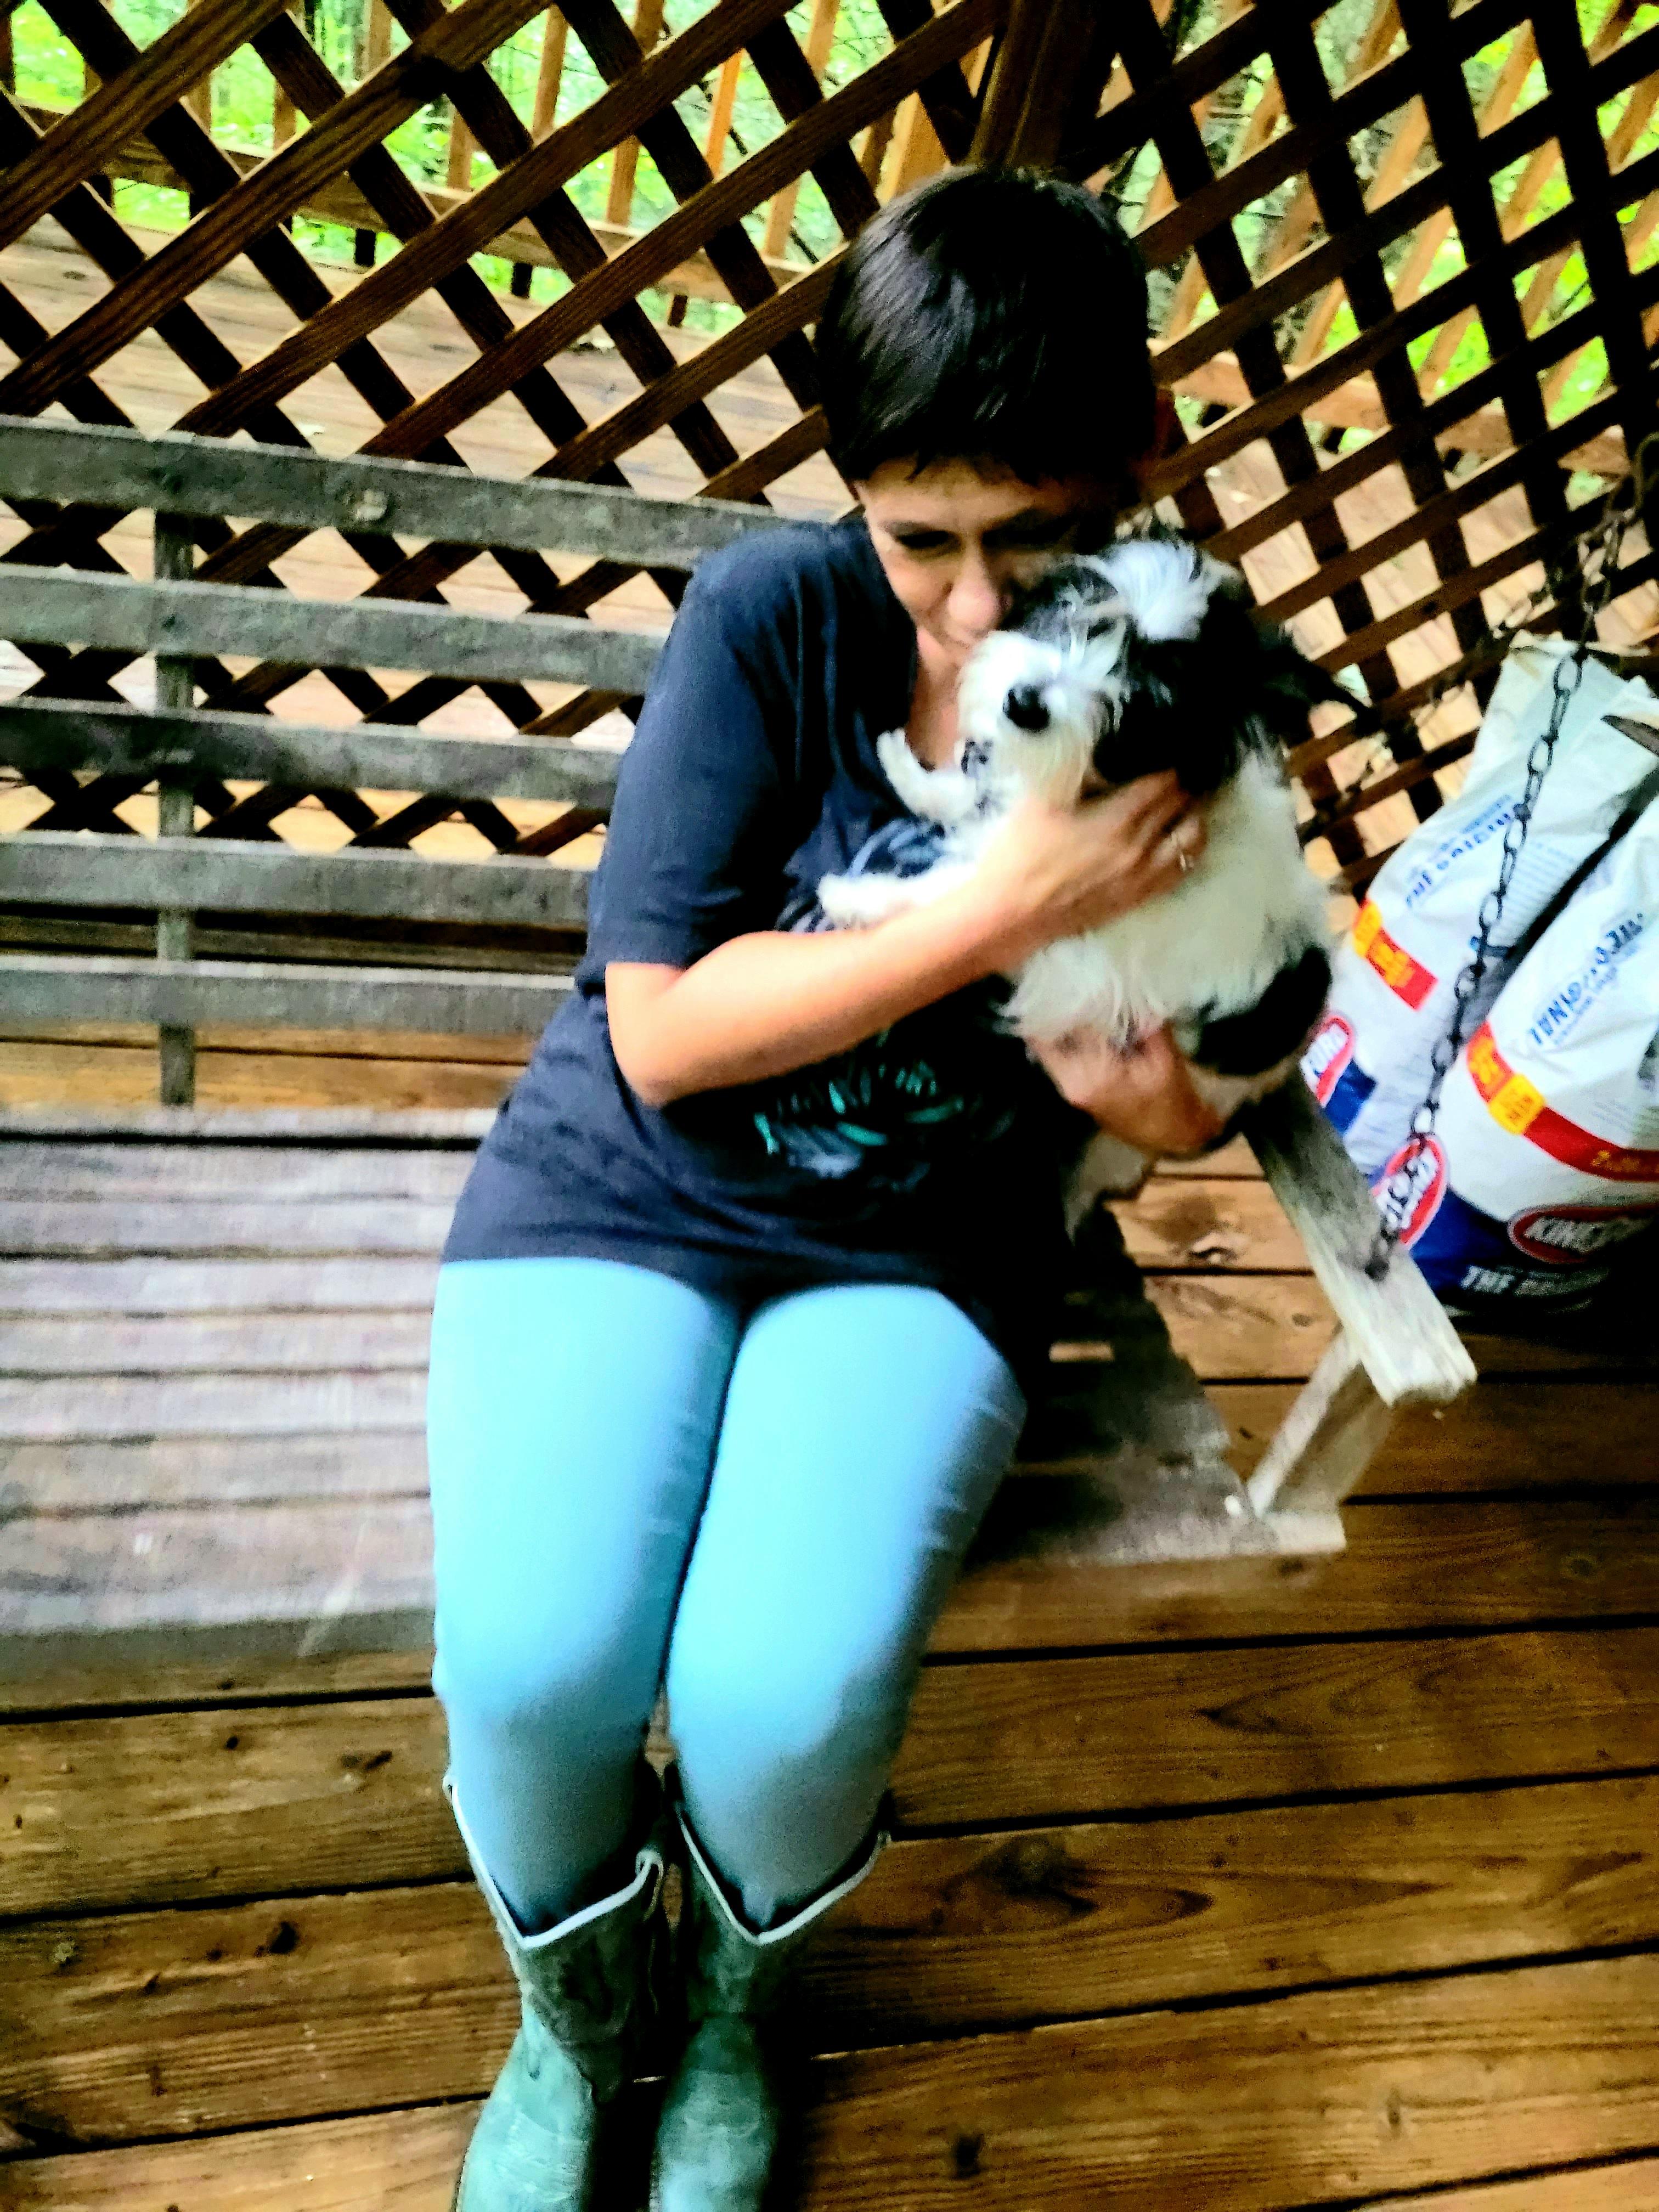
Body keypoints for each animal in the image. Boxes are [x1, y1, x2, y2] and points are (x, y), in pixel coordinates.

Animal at [827, 537, 1345, 1229]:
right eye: (1080, 612)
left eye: (1148, 702)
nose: (1025, 703)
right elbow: (978, 803)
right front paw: (912, 771)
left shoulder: (1068, 962)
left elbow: (964, 900)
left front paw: (859, 899)